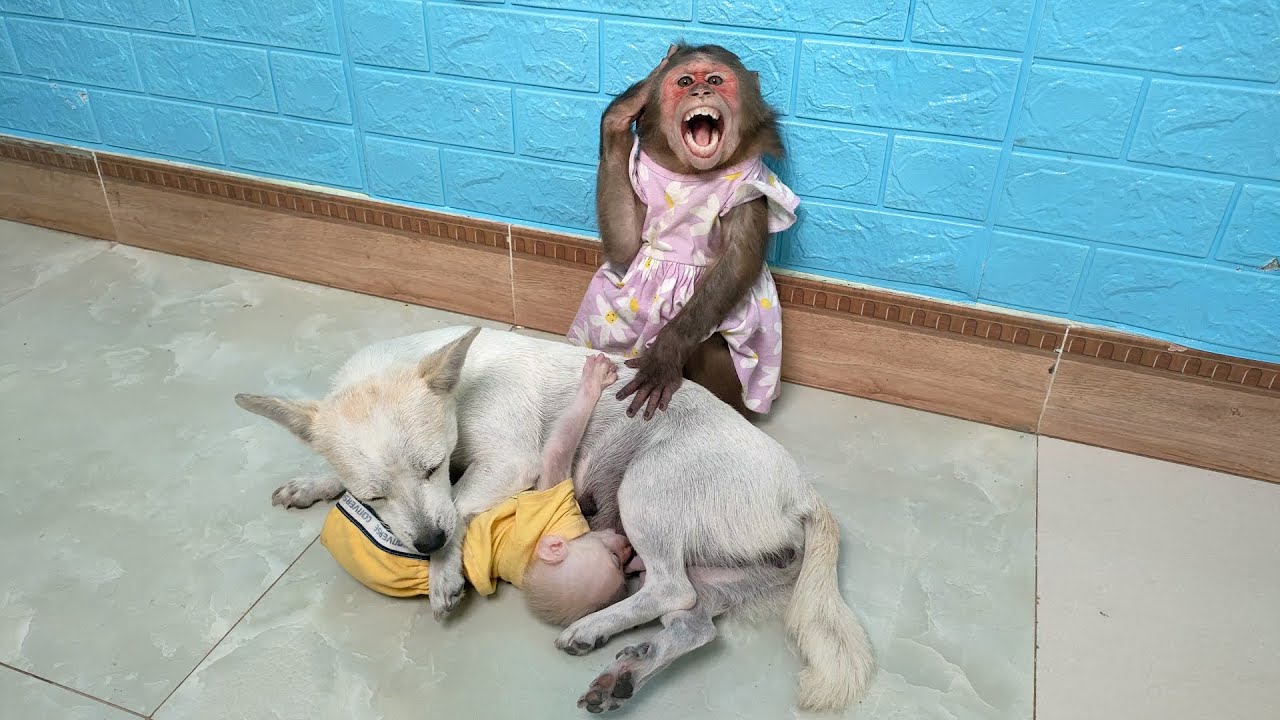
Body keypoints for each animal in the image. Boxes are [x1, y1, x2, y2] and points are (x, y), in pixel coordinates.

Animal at [567, 43, 799, 421]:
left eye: (716, 80)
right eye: (685, 81)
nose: (701, 91)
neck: (692, 172)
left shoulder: (753, 183)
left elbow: (737, 262)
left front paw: (665, 353)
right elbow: (626, 248)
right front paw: (624, 108)